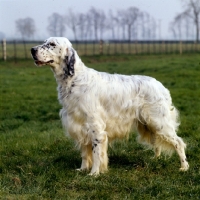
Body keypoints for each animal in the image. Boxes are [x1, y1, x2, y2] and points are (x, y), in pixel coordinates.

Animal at [30, 37, 189, 175]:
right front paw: (83, 169)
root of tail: (160, 85)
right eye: (45, 41)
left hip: (159, 122)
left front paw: (94, 173)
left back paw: (184, 167)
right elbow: (84, 153)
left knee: (178, 142)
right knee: (157, 142)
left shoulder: (96, 127)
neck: (74, 79)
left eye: (52, 44)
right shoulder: (79, 126)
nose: (32, 50)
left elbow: (96, 153)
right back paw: (156, 159)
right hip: (148, 124)